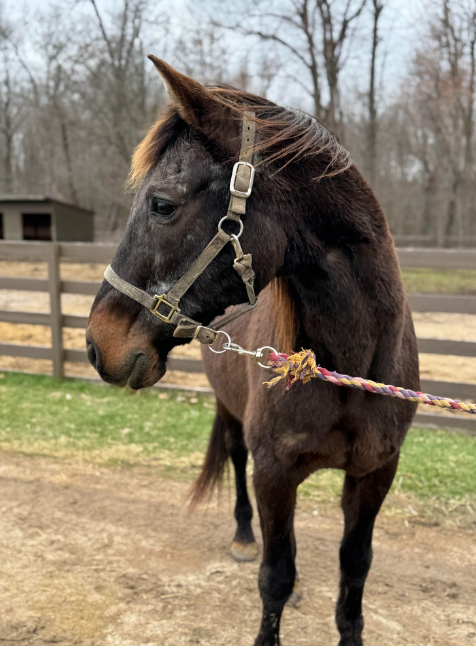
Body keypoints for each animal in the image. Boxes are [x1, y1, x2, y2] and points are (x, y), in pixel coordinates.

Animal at [86, 57, 420, 646]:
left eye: (162, 205)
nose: (96, 343)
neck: (352, 370)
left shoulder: (375, 472)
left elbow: (355, 567)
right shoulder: (274, 472)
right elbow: (275, 576)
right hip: (231, 413)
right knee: (235, 461)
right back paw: (244, 535)